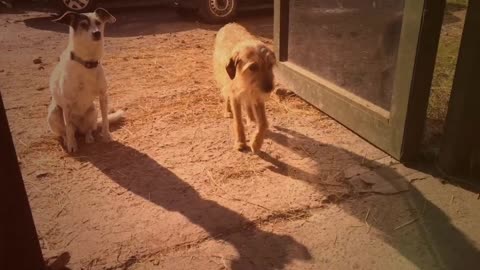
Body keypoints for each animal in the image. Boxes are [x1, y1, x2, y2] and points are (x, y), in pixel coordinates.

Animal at [47, 7, 124, 152]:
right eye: (83, 24)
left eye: (98, 22)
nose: (97, 33)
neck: (87, 63)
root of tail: (79, 129)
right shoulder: (67, 104)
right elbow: (68, 128)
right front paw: (72, 145)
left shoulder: (103, 96)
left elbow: (105, 120)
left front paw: (106, 136)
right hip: (54, 114)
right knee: (66, 131)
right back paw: (67, 140)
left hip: (93, 111)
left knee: (88, 129)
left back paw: (89, 137)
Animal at [213, 22, 276, 154]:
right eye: (253, 67)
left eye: (270, 65)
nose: (269, 88)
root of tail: (229, 23)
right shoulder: (235, 96)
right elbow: (238, 122)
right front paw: (240, 142)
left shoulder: (257, 96)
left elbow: (264, 122)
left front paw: (256, 143)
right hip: (224, 81)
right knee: (226, 96)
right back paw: (227, 111)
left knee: (248, 104)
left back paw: (251, 119)